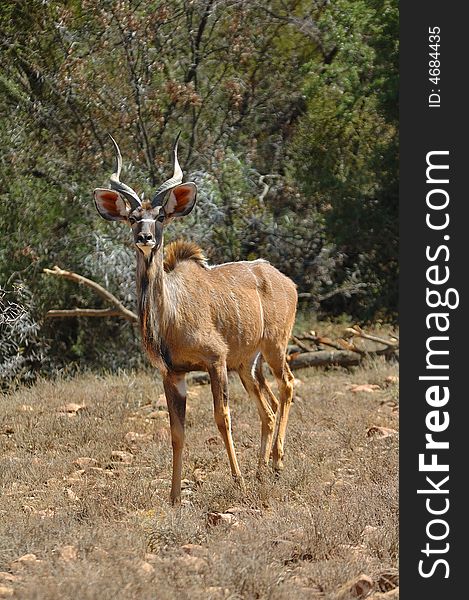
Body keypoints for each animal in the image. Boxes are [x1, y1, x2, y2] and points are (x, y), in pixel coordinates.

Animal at [93, 135, 294, 502]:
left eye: (160, 215)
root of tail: (285, 280)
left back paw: (276, 463)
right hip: (247, 364)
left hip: (274, 346)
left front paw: (238, 481)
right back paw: (262, 470)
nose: (145, 238)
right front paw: (174, 497)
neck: (169, 320)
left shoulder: (215, 361)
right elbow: (176, 432)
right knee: (269, 409)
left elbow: (222, 418)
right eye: (132, 217)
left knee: (287, 385)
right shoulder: (173, 374)